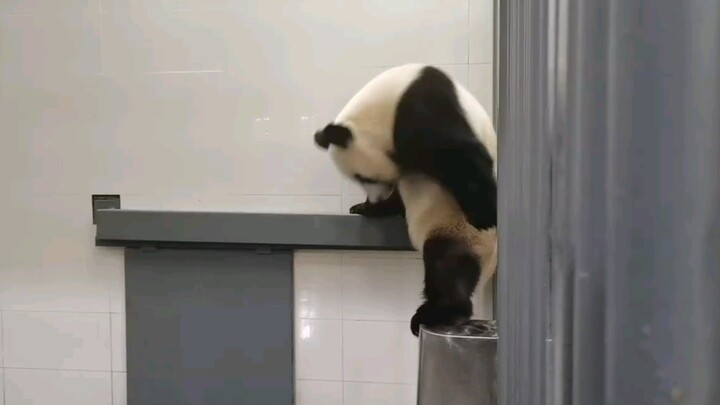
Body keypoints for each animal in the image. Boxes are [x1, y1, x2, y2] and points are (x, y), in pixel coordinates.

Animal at [316, 62, 500, 230]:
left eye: (364, 178)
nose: (377, 199)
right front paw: (369, 207)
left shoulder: (422, 111)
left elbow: (461, 156)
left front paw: (484, 217)